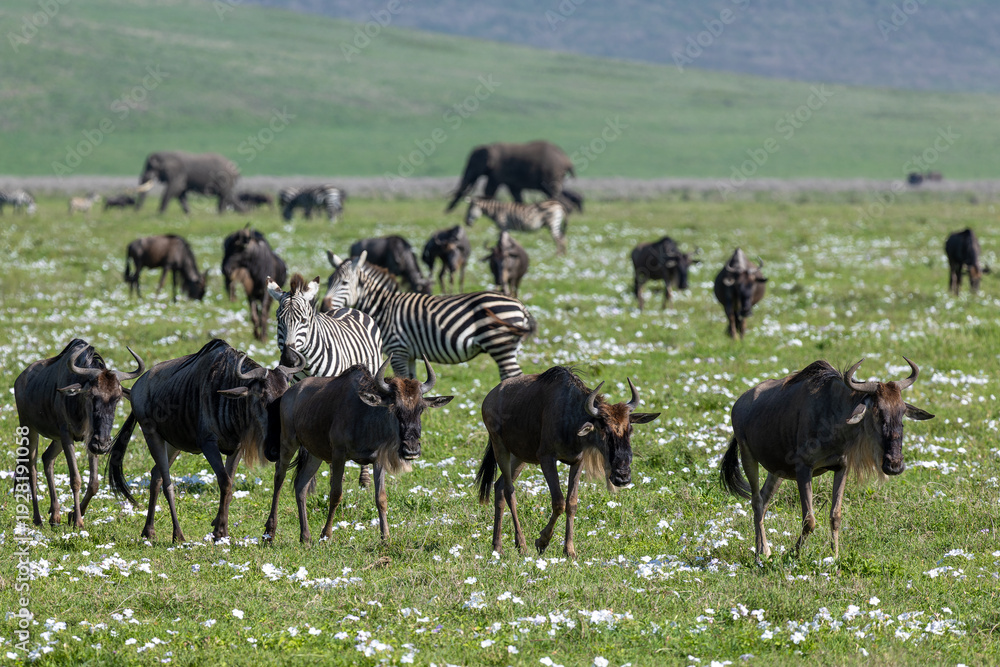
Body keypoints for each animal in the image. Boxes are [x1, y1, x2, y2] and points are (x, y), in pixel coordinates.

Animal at [268, 272, 384, 488]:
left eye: (304, 320)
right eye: (279, 320)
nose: (289, 359)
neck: (308, 365)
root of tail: (348, 308)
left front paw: (337, 478)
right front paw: (311, 480)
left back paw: (364, 479)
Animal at [322, 251, 536, 381]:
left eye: (344, 283)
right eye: (328, 281)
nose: (324, 305)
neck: (384, 306)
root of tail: (520, 305)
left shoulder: (398, 350)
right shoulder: (409, 354)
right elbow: (412, 381)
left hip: (500, 345)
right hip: (509, 347)